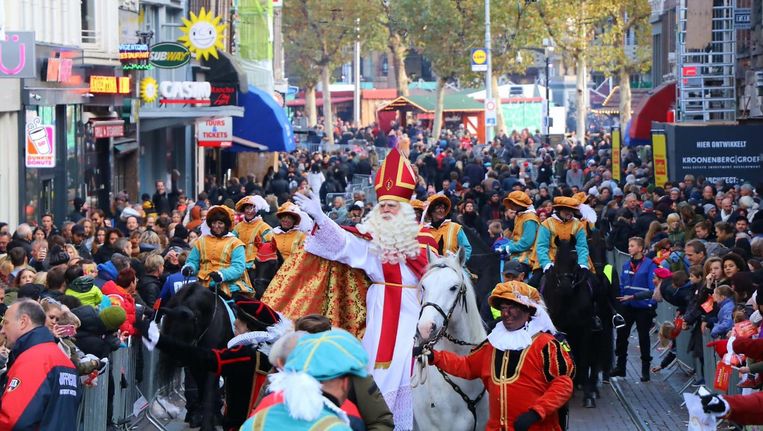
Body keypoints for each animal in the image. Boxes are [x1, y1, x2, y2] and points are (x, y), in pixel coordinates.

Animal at [160, 284, 234, 431]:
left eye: (185, 330)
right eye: (168, 329)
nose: (178, 359)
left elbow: (209, 390)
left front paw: (207, 425)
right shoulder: (195, 366)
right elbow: (202, 389)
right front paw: (199, 416)